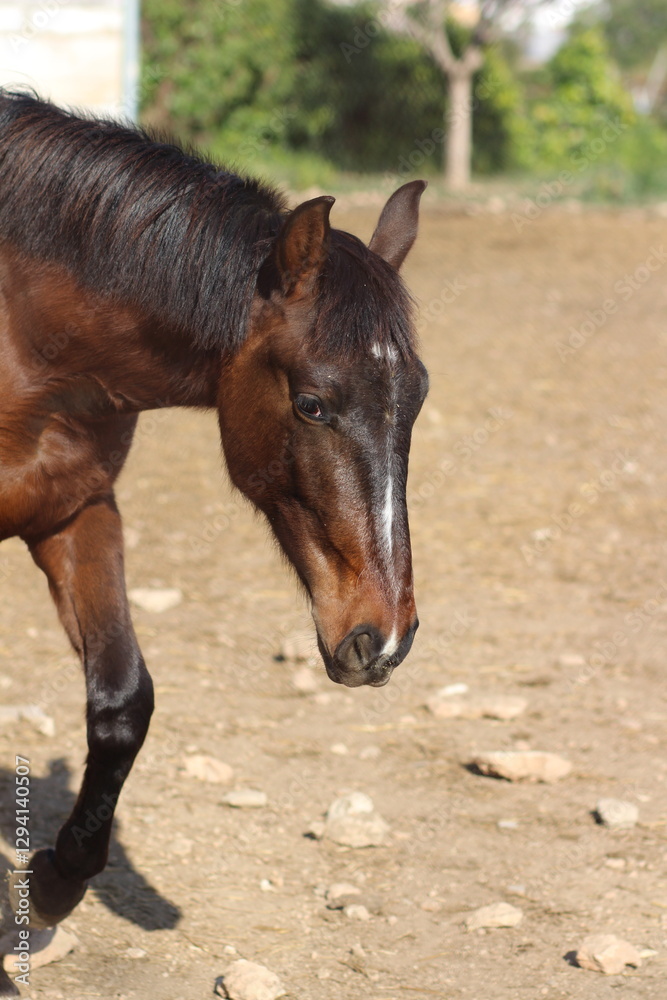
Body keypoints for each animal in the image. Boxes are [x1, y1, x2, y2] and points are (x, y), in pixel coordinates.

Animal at [0, 90, 428, 994]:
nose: (382, 638)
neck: (21, 335)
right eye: (311, 404)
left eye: (416, 397)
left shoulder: (76, 512)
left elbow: (123, 702)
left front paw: (51, 884)